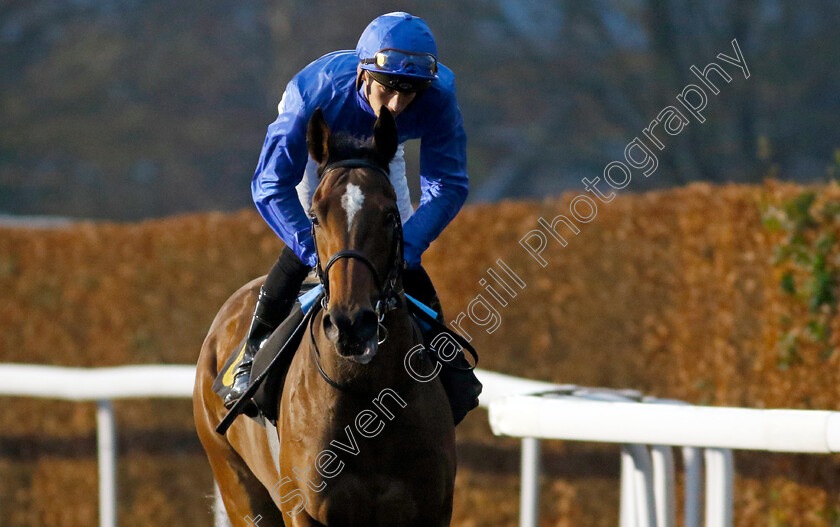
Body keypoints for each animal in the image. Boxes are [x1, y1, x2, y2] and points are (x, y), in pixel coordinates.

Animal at [194, 108, 456, 527]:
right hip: (236, 483)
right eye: (315, 217)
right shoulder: (304, 511)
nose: (351, 323)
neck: (367, 398)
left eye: (389, 215)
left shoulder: (434, 510)